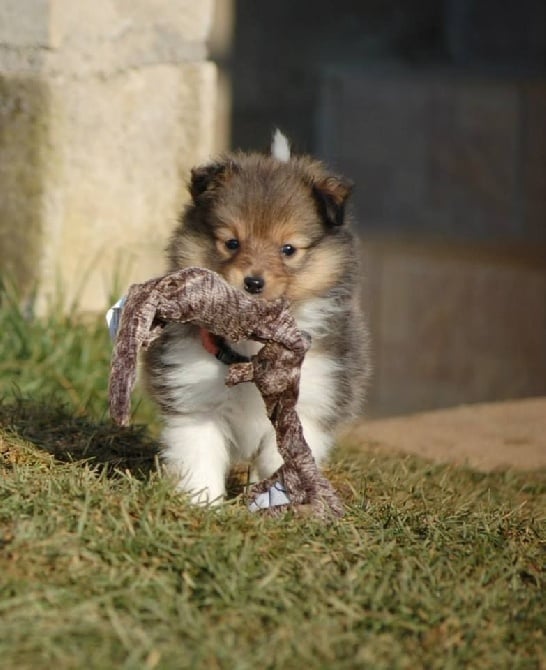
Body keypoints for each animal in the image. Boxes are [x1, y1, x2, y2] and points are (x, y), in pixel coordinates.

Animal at [141, 131, 370, 504]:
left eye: (288, 249)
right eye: (231, 243)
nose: (253, 282)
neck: (252, 345)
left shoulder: (307, 404)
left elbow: (280, 462)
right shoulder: (195, 401)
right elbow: (200, 461)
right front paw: (203, 506)